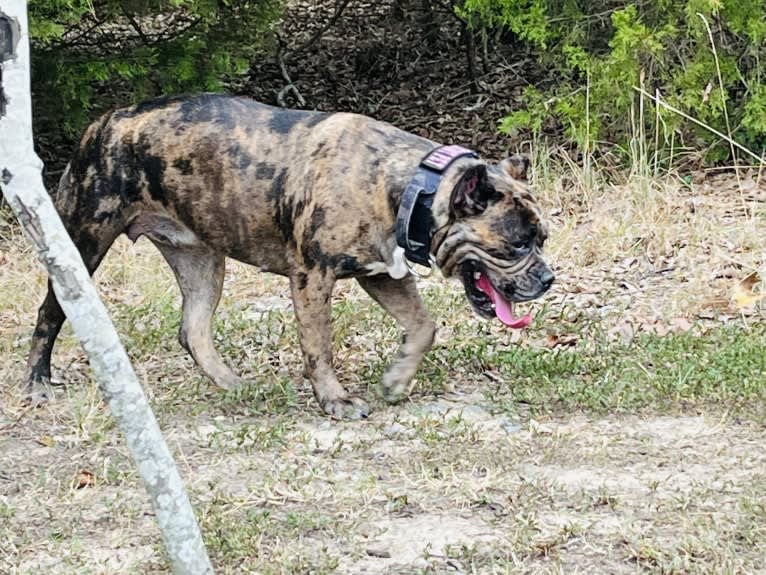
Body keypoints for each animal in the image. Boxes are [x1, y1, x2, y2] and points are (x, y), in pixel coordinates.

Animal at [27, 93, 556, 418]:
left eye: (544, 239)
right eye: (516, 244)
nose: (548, 279)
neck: (406, 187)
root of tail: (103, 123)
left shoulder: (384, 273)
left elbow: (423, 327)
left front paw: (396, 380)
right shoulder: (312, 276)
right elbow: (319, 346)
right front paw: (336, 401)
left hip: (202, 260)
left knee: (192, 328)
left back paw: (233, 384)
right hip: (84, 241)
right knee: (49, 314)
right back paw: (37, 382)